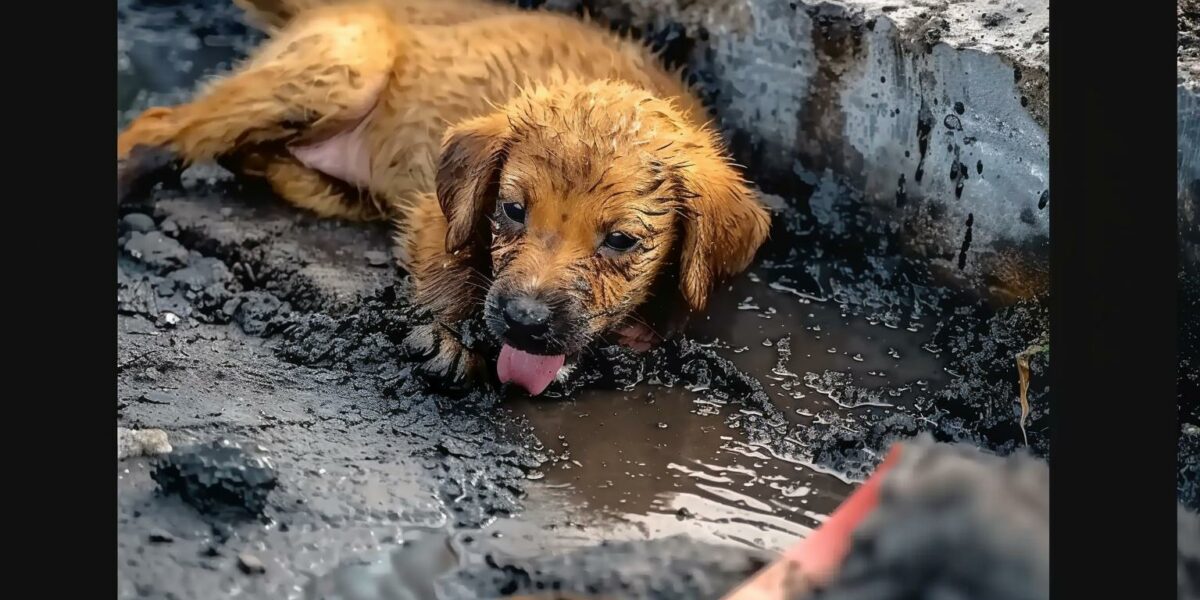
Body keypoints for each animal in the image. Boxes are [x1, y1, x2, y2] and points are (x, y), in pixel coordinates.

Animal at [117, 0, 772, 393]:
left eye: (621, 241)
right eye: (512, 211)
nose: (524, 321)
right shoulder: (440, 212)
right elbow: (448, 268)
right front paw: (450, 336)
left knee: (245, 155)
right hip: (339, 69)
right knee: (159, 127)